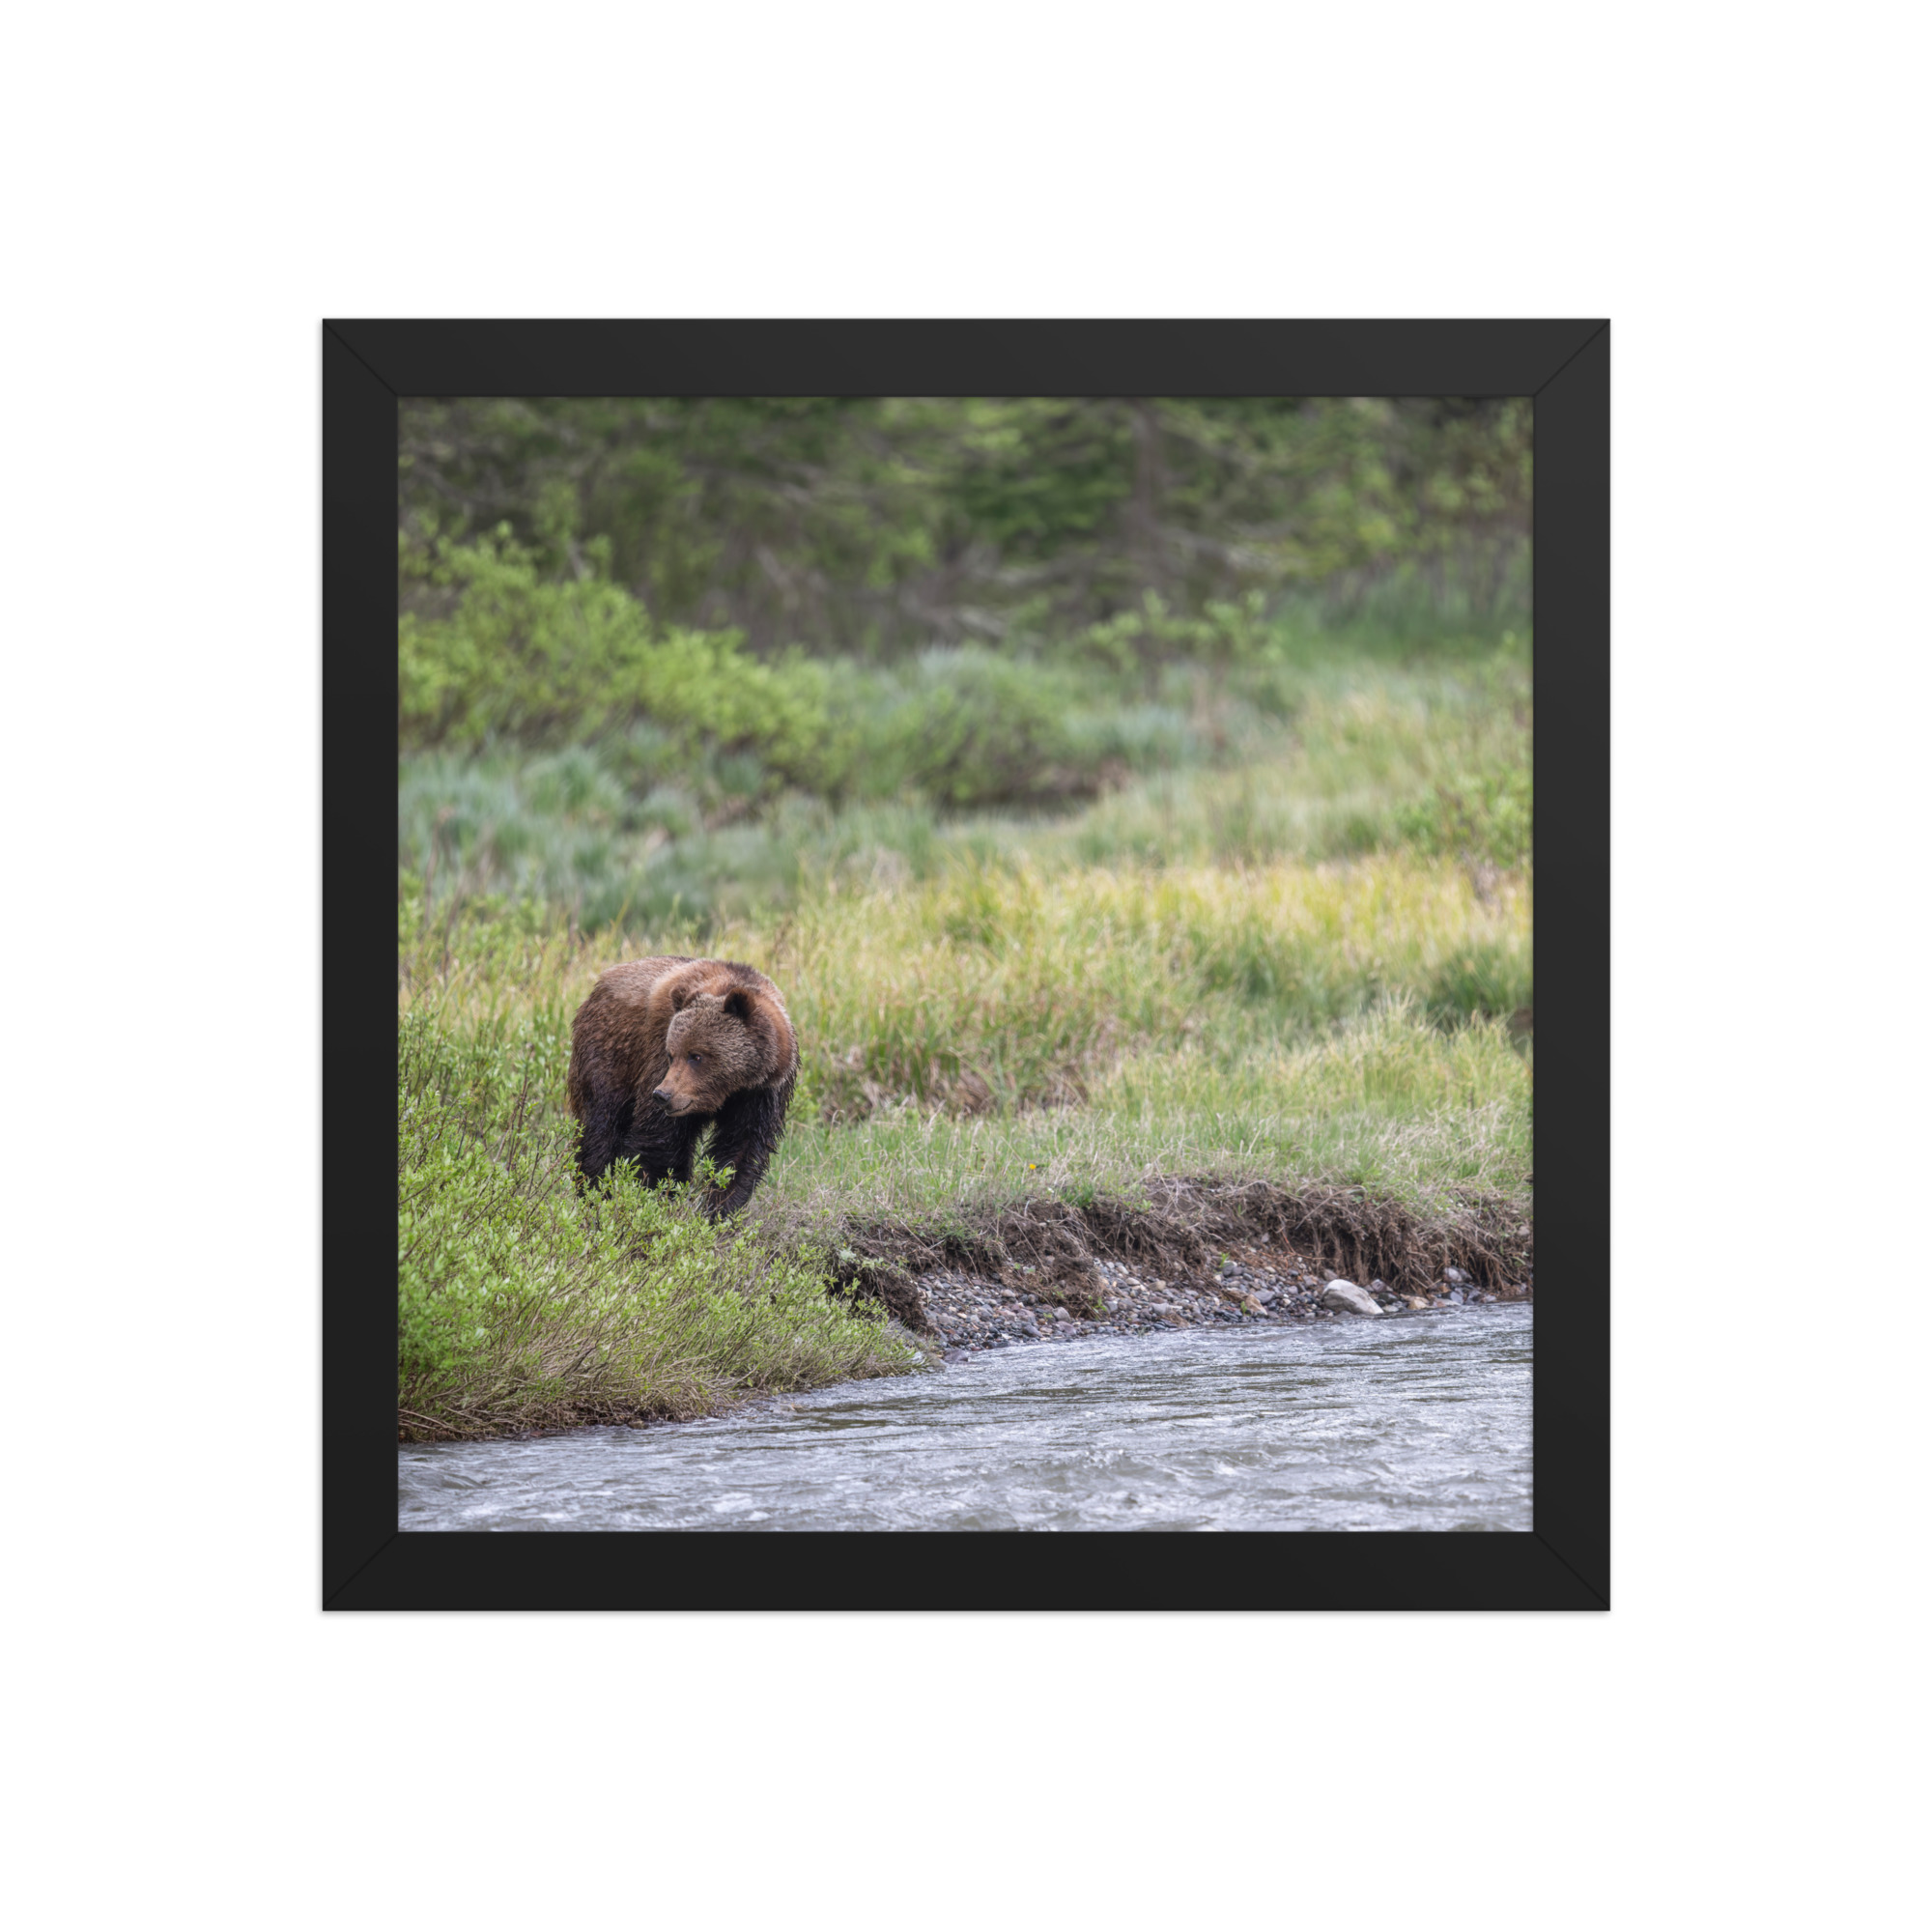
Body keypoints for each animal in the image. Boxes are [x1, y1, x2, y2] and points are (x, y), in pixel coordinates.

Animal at [566, 956, 799, 1217]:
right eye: (671, 1054)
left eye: (696, 1056)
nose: (663, 1095)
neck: (731, 1089)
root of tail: (600, 983)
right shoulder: (657, 1058)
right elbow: (660, 1141)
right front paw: (655, 1198)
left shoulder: (761, 1094)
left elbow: (740, 1152)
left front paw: (718, 1210)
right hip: (610, 1054)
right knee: (601, 1127)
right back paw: (594, 1194)